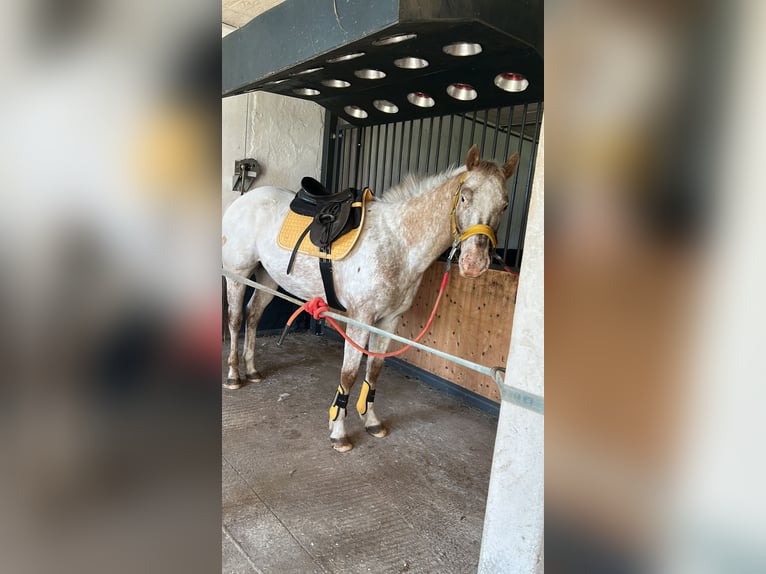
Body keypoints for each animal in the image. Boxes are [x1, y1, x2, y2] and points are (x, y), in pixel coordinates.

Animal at [222, 144, 519, 452]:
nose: (475, 263)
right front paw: (339, 432)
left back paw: (252, 370)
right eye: (464, 197)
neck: (398, 242)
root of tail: (243, 201)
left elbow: (375, 369)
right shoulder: (361, 318)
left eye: (504, 205)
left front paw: (371, 420)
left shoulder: (389, 321)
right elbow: (349, 373)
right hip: (237, 274)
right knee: (235, 319)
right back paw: (234, 376)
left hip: (268, 277)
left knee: (253, 315)